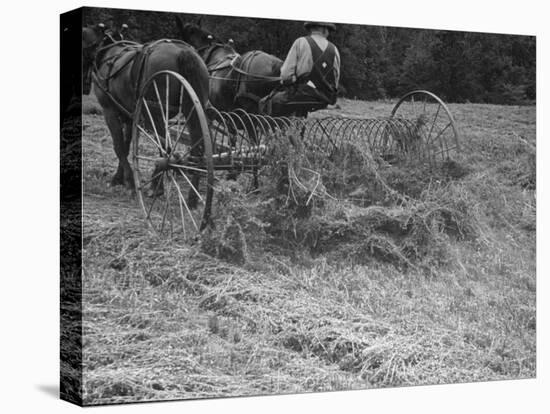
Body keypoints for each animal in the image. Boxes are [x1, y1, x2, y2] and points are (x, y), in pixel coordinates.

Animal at [82, 23, 211, 205]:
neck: (108, 52)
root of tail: (184, 52)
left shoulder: (109, 111)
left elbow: (119, 146)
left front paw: (129, 182)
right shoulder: (129, 116)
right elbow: (127, 146)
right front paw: (119, 178)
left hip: (156, 112)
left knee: (166, 149)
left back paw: (157, 185)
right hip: (193, 108)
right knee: (196, 149)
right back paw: (192, 197)